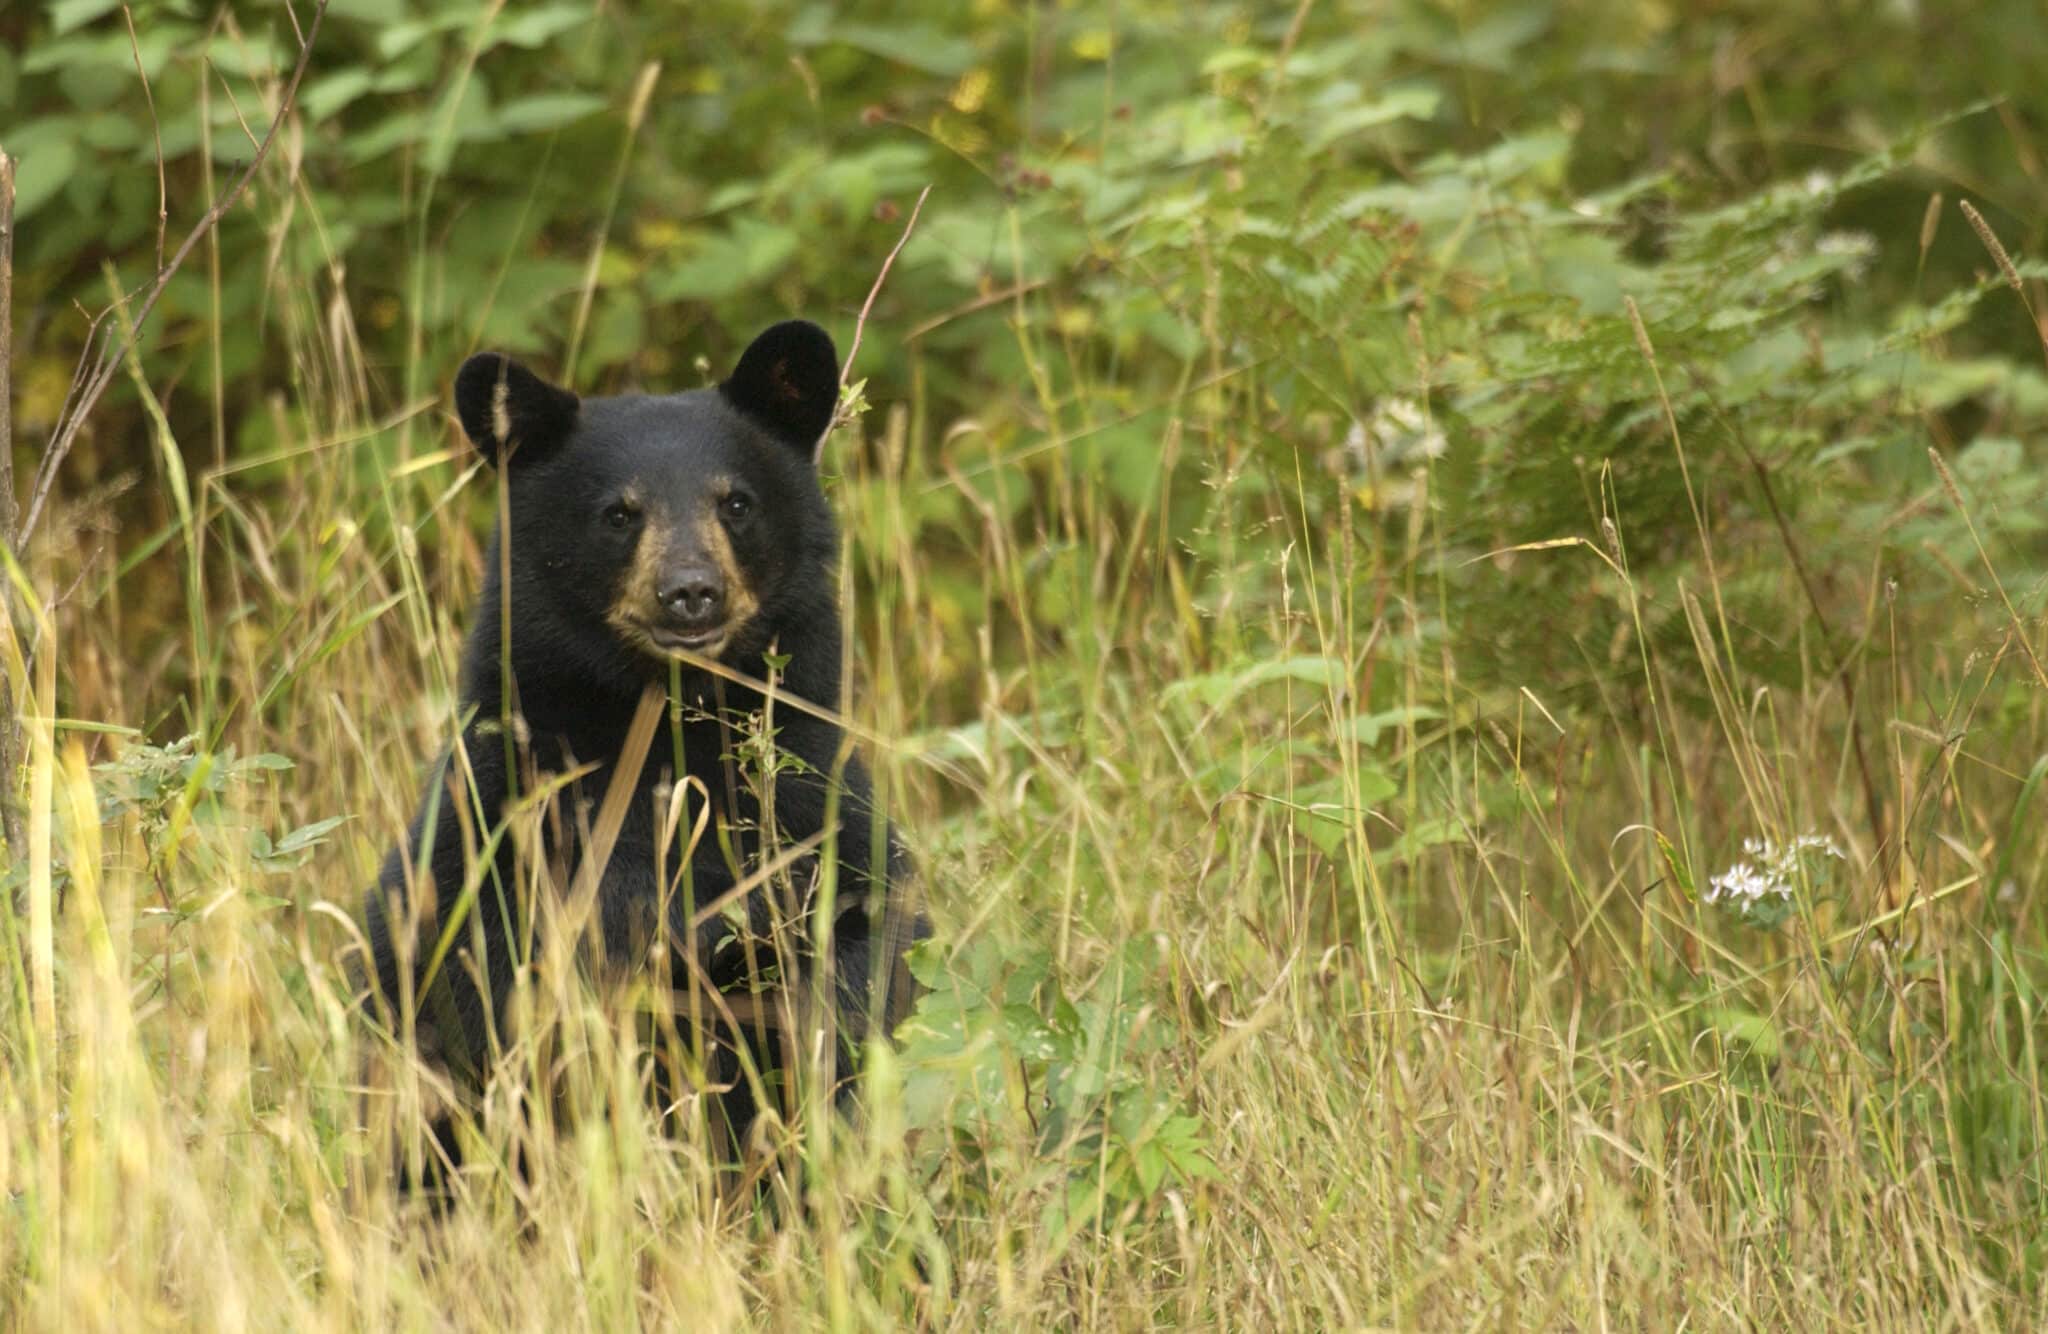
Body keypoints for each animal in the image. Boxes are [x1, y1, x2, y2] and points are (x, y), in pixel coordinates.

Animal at [357, 320, 924, 1195]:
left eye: (736, 502)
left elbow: (860, 942)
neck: (668, 724)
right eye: (619, 514)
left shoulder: (813, 799)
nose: (690, 592)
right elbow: (506, 957)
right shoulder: (514, 819)